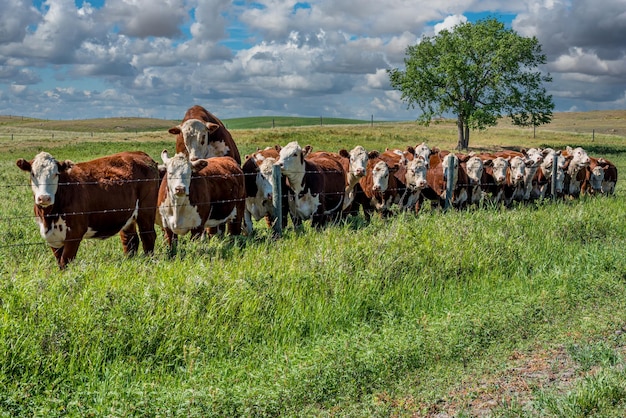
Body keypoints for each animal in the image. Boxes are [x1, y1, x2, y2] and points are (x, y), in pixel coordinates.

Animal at [16, 150, 160, 268]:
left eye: (56, 174)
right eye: (33, 174)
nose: (44, 198)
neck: (49, 217)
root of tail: (140, 154)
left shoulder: (75, 233)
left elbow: (65, 262)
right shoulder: (52, 238)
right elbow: (59, 261)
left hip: (145, 211)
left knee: (148, 236)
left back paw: (148, 262)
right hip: (128, 216)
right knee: (130, 240)